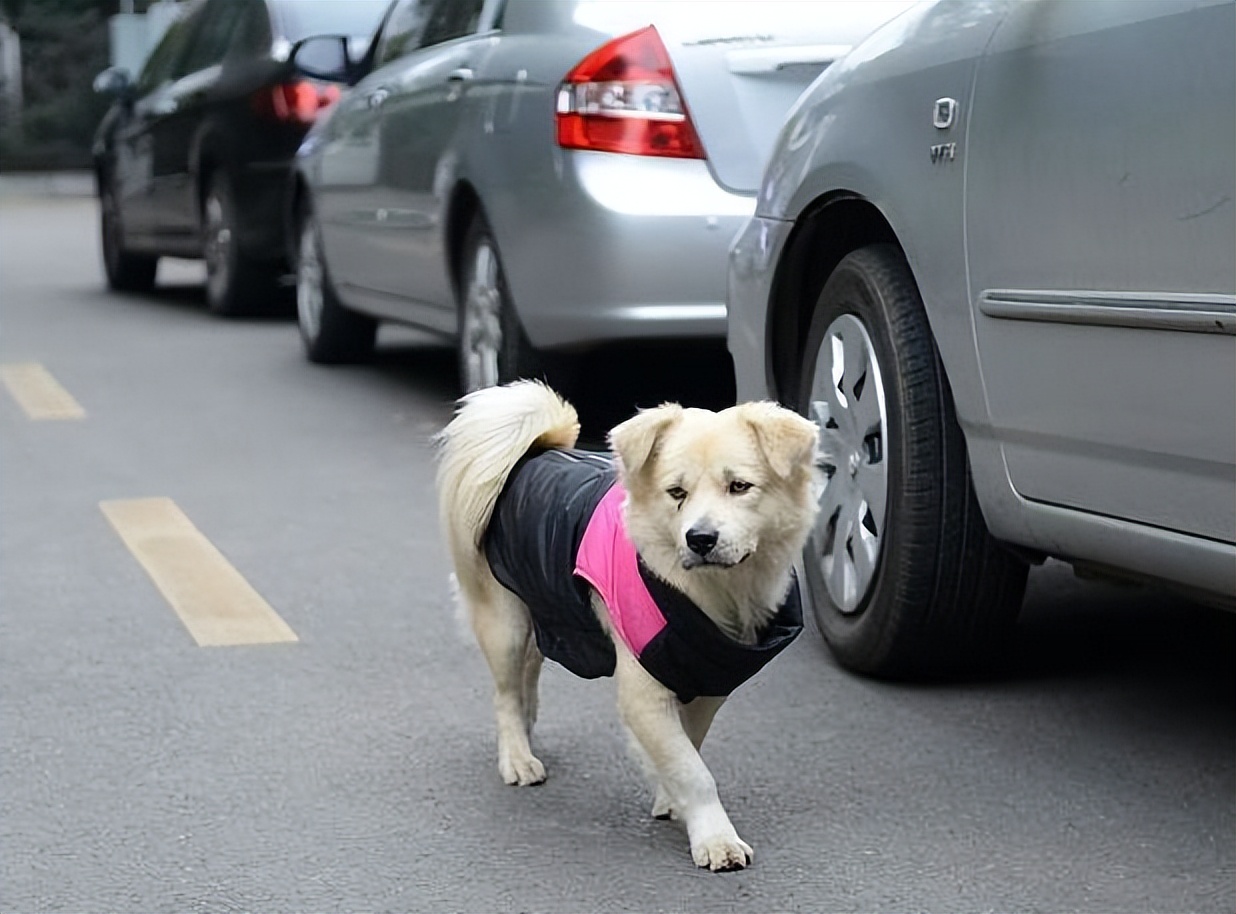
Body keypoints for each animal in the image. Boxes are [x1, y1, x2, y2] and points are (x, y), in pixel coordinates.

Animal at [435, 380, 820, 870]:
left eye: (739, 487)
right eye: (676, 492)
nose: (700, 538)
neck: (713, 592)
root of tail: (530, 455)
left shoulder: (709, 678)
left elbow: (688, 746)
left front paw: (671, 798)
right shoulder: (643, 692)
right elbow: (693, 769)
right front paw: (715, 837)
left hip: (546, 610)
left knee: (529, 674)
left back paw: (528, 722)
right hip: (505, 622)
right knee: (504, 692)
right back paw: (517, 756)